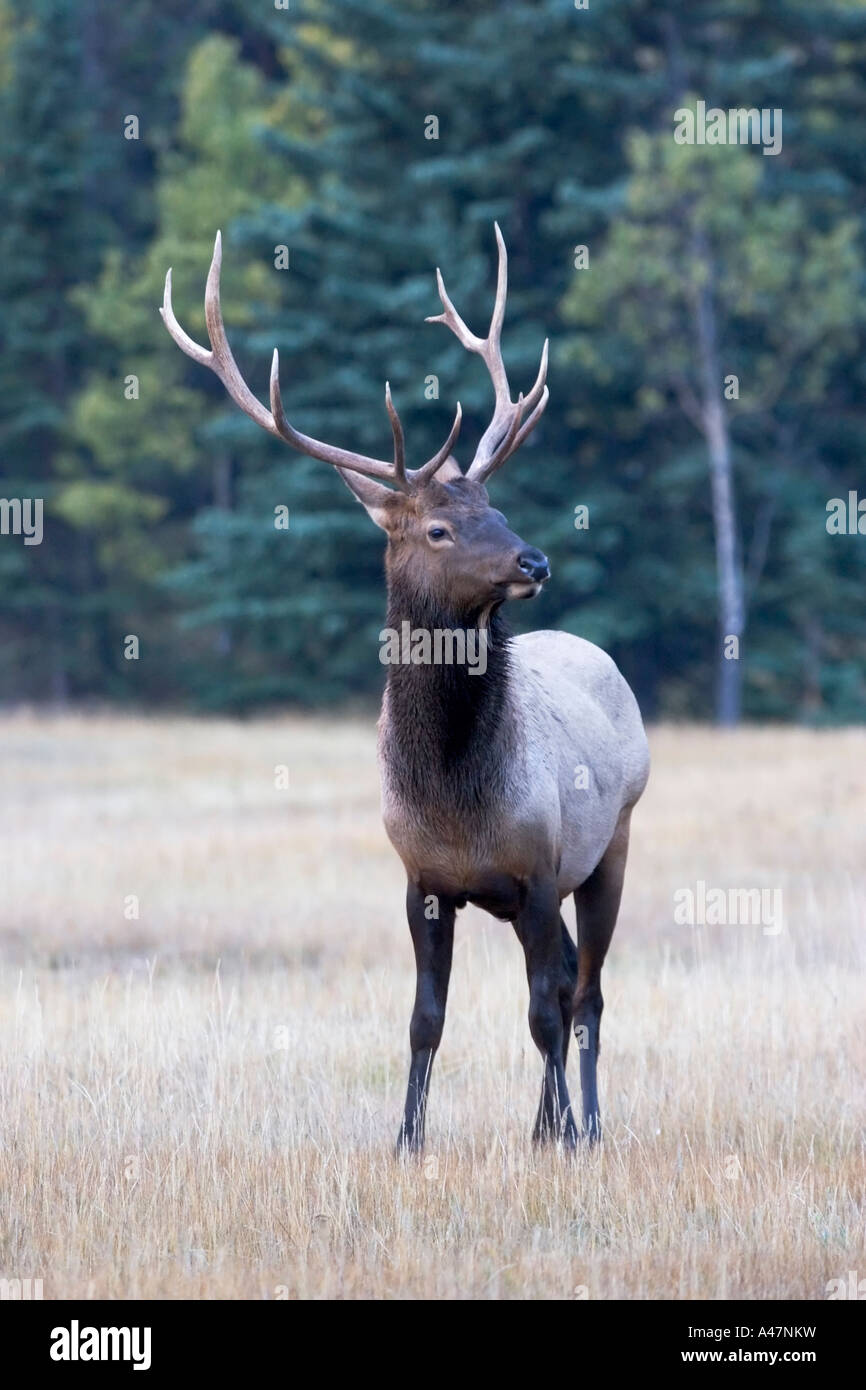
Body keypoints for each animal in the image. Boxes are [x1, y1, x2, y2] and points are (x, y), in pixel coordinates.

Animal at [161, 226, 650, 1151]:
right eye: (440, 527)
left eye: (499, 506)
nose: (535, 560)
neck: (454, 794)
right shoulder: (423, 879)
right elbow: (426, 1018)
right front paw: (407, 1139)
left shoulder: (539, 869)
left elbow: (544, 1011)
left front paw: (550, 1137)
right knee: (573, 981)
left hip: (613, 843)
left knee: (588, 993)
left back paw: (589, 1126)